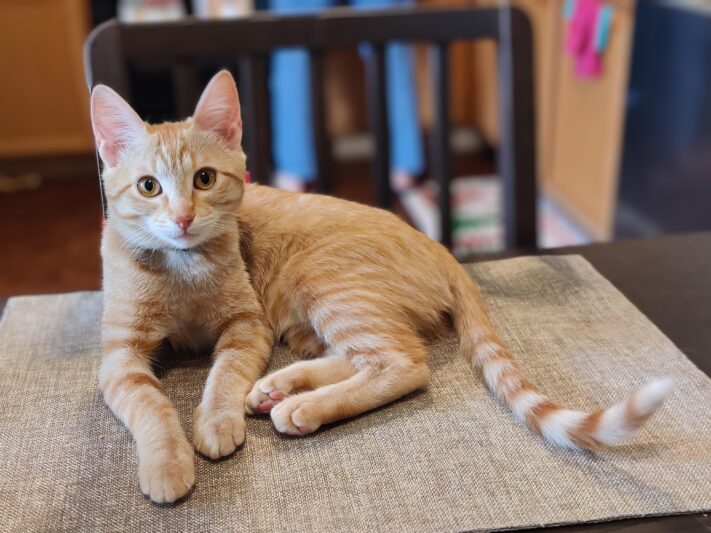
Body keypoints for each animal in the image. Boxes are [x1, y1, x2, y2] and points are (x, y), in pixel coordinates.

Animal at [90, 70, 672, 502]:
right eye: (149, 187)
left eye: (205, 179)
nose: (183, 218)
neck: (181, 266)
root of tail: (436, 244)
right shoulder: (119, 355)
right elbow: (150, 404)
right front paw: (167, 461)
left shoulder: (246, 326)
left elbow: (222, 376)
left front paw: (212, 422)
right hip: (318, 314)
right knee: (364, 355)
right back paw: (282, 386)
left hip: (328, 284)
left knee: (404, 363)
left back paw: (301, 405)